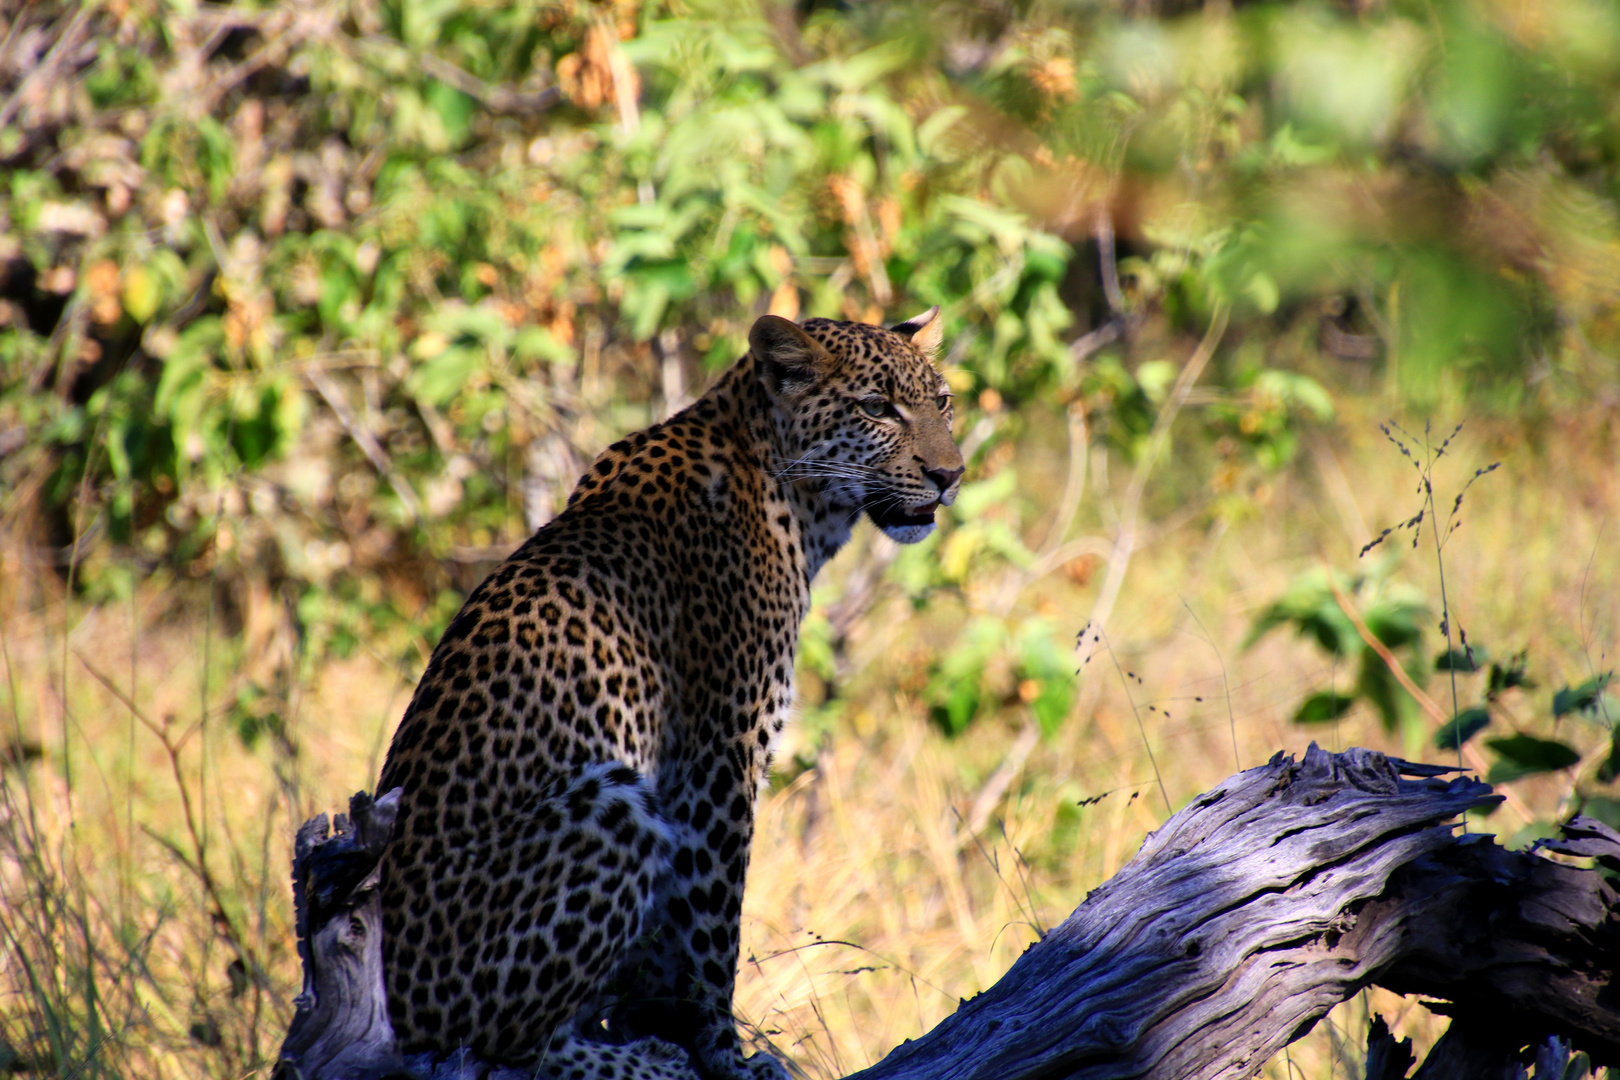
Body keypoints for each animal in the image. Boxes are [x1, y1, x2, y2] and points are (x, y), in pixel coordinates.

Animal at [375, 307, 959, 1075]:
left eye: (942, 402)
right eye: (876, 408)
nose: (950, 474)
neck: (796, 500)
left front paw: (670, 1027)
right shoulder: (718, 760)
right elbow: (712, 933)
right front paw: (726, 1057)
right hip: (613, 802)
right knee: (510, 1047)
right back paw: (651, 1061)